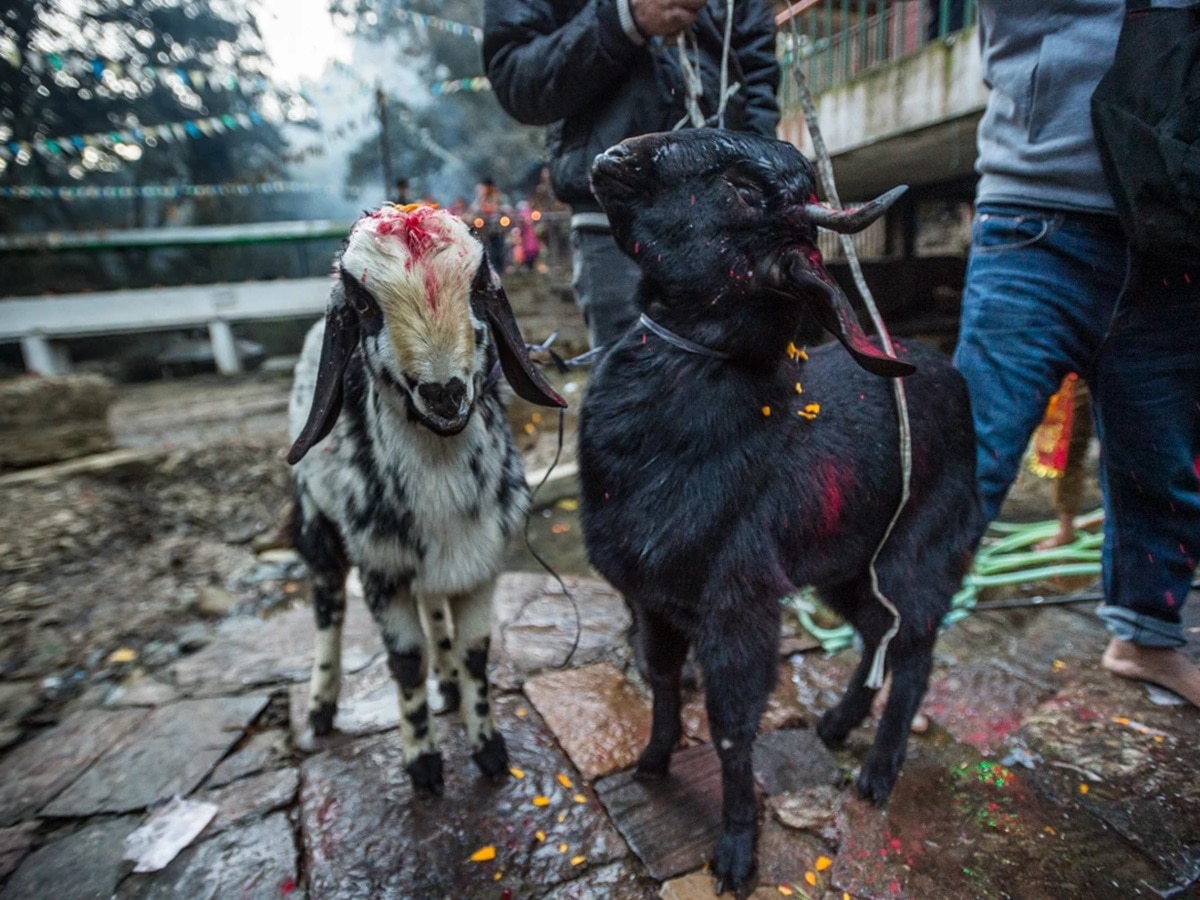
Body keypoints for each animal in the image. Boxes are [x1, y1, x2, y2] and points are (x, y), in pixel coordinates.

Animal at [580, 128, 984, 897]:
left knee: (915, 651)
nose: (613, 155)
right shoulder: (653, 598)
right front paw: (652, 762)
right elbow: (662, 678)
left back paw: (877, 772)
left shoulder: (739, 604)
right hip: (850, 562)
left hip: (920, 549)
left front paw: (738, 851)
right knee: (876, 631)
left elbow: (733, 727)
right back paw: (836, 723)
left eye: (741, 188)